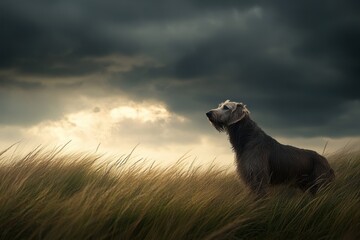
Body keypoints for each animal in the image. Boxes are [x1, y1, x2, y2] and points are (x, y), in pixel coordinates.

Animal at [207, 99, 336, 195]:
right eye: (220, 106)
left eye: (226, 107)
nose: (208, 113)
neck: (247, 138)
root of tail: (327, 163)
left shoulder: (258, 178)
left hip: (320, 184)